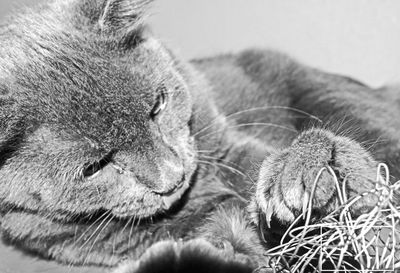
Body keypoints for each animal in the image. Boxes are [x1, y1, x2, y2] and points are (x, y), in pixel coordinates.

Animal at [0, 0, 400, 272]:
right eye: (93, 167)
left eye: (158, 105)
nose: (171, 176)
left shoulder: (228, 149)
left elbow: (260, 166)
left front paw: (315, 168)